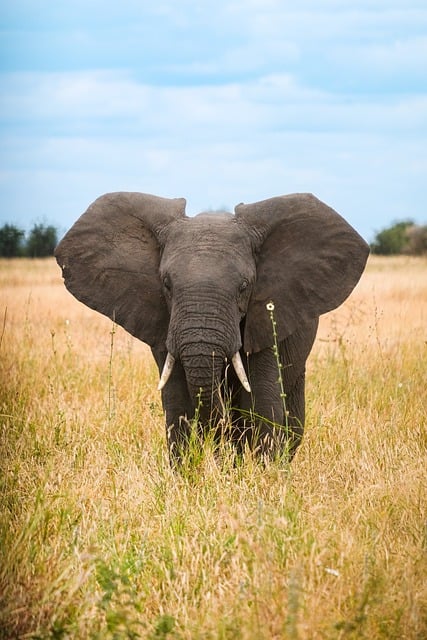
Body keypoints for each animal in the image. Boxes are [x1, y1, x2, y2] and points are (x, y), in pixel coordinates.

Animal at [55, 192, 369, 464]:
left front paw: (264, 480)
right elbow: (177, 404)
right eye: (166, 284)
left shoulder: (268, 321)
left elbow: (261, 403)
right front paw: (186, 479)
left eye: (244, 286)